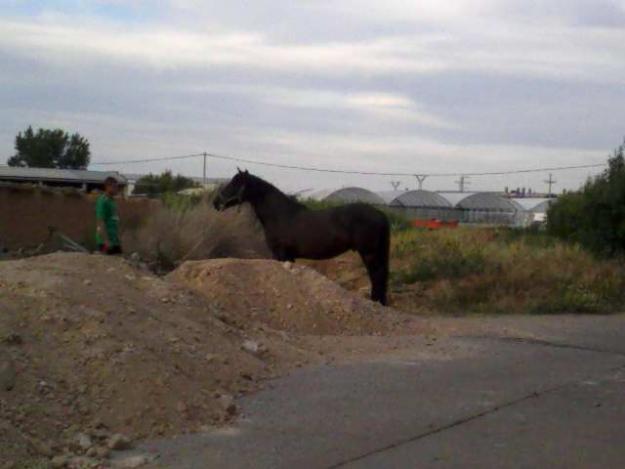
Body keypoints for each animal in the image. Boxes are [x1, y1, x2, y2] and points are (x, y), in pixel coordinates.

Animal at [214, 170, 390, 306]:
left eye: (235, 183)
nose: (216, 202)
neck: (280, 215)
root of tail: (380, 214)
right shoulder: (289, 257)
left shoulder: (281, 254)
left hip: (369, 253)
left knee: (377, 275)